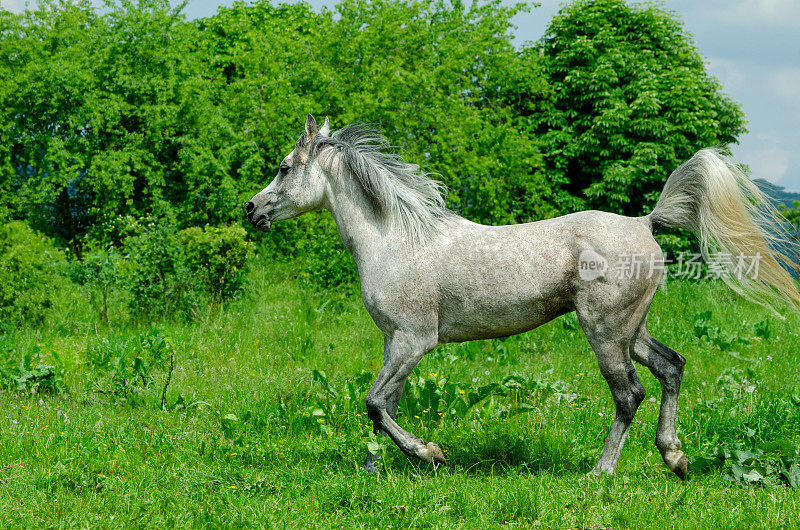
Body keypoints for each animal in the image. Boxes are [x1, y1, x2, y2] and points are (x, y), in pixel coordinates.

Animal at [244, 113, 800, 476]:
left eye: (284, 168)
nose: (252, 210)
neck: (398, 238)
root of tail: (645, 224)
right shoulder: (394, 342)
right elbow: (386, 407)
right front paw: (372, 473)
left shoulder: (413, 340)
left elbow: (376, 403)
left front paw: (429, 454)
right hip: (631, 331)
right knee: (672, 367)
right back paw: (675, 458)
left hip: (604, 333)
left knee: (630, 394)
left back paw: (601, 473)